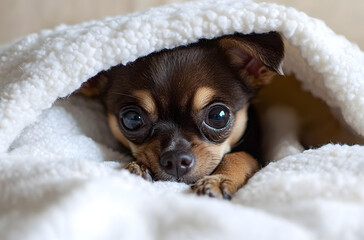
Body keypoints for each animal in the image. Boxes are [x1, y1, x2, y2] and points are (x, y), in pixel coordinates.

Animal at [79, 32, 284, 201]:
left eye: (218, 116)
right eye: (132, 119)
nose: (176, 160)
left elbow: (239, 156)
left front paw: (218, 180)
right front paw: (138, 167)